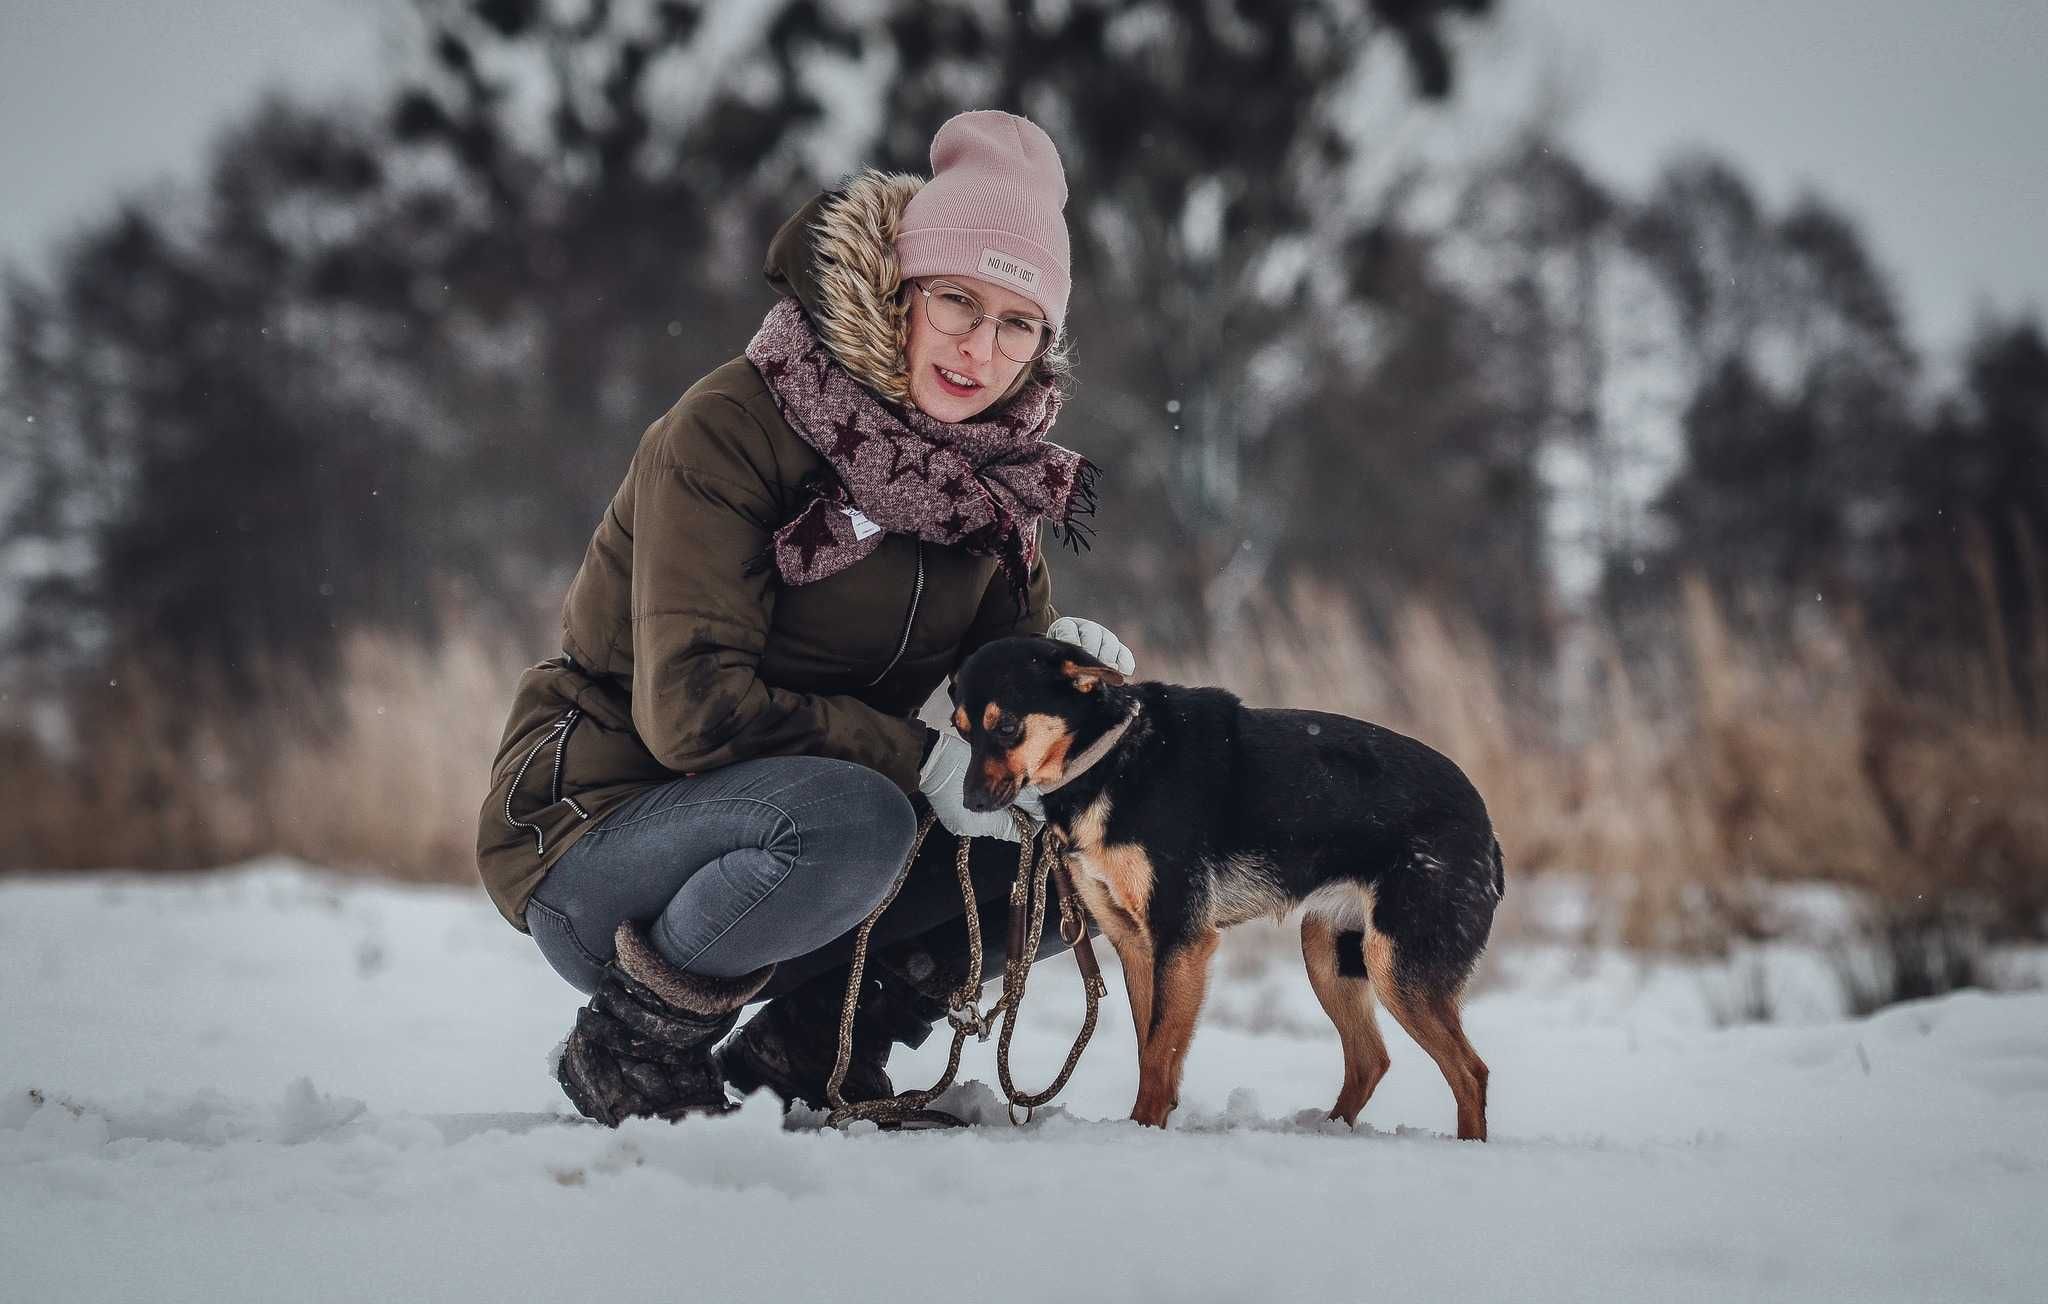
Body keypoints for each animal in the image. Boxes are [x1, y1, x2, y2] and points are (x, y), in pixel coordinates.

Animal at [946, 634, 1507, 1138]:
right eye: (962, 732)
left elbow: (1159, 1054)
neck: (1110, 757)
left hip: (1395, 964)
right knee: (1372, 1059)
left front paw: (1141, 1134)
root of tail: (1486, 828)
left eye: (1008, 726)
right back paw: (1327, 1132)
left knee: (1470, 1072)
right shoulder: (1136, 944)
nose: (969, 801)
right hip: (1328, 953)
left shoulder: (1181, 938)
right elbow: (1151, 1048)